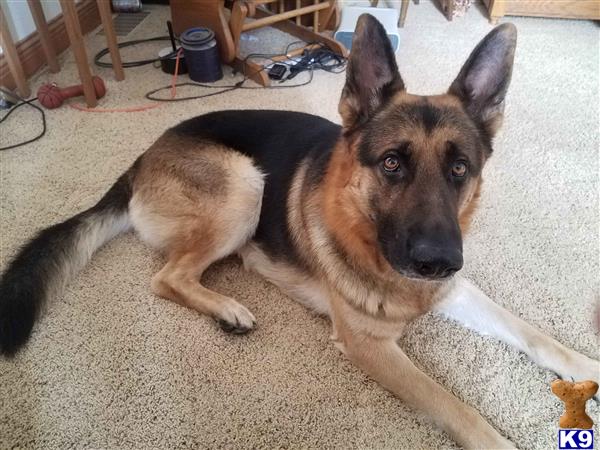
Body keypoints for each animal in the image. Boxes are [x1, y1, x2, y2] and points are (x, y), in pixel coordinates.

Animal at [1, 13, 600, 446]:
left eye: (460, 169)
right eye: (391, 164)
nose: (437, 261)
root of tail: (143, 157)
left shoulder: (456, 289)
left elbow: (533, 334)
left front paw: (587, 364)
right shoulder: (369, 346)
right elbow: (457, 410)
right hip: (245, 185)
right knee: (166, 277)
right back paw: (228, 309)